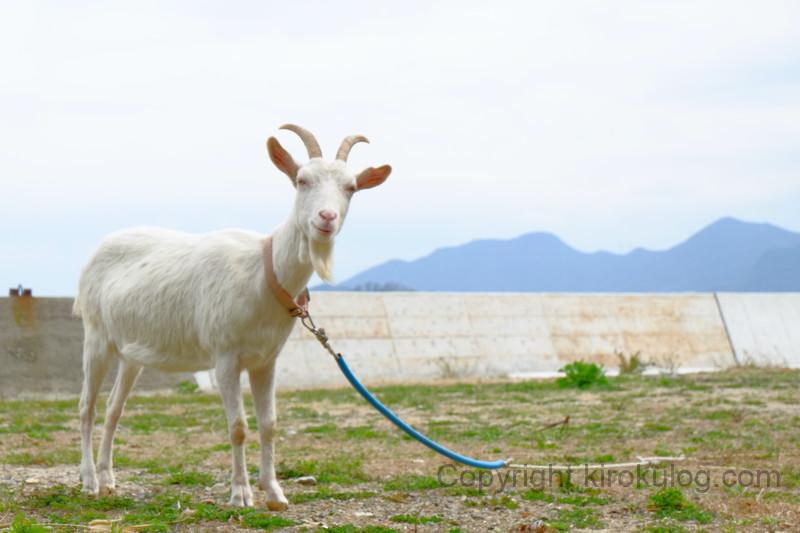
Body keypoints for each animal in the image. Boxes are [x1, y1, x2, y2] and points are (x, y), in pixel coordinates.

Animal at [73, 124, 392, 509]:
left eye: (351, 188)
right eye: (301, 180)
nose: (325, 219)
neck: (264, 272)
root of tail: (96, 252)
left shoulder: (266, 360)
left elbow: (269, 423)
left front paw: (275, 493)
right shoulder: (225, 357)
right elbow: (238, 426)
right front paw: (240, 493)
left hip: (130, 353)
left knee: (113, 408)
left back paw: (108, 479)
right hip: (96, 337)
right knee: (87, 407)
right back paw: (89, 481)